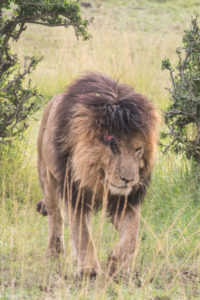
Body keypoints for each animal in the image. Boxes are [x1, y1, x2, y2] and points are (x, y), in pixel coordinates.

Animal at [36, 72, 159, 278]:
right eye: (113, 145)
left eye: (138, 149)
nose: (128, 180)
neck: (98, 179)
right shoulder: (75, 193)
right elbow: (83, 234)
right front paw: (89, 270)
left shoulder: (127, 202)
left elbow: (131, 237)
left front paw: (116, 264)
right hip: (46, 176)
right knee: (56, 217)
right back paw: (54, 252)